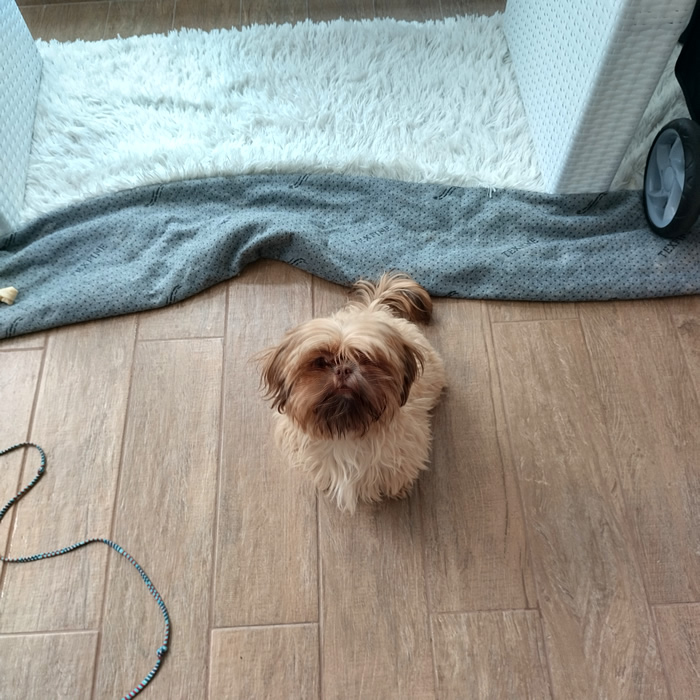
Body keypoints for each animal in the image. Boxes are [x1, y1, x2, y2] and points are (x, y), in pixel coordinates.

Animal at [259, 272, 446, 513]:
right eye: (321, 362)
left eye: (365, 358)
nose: (344, 369)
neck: (346, 428)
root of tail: (374, 308)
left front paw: (400, 489)